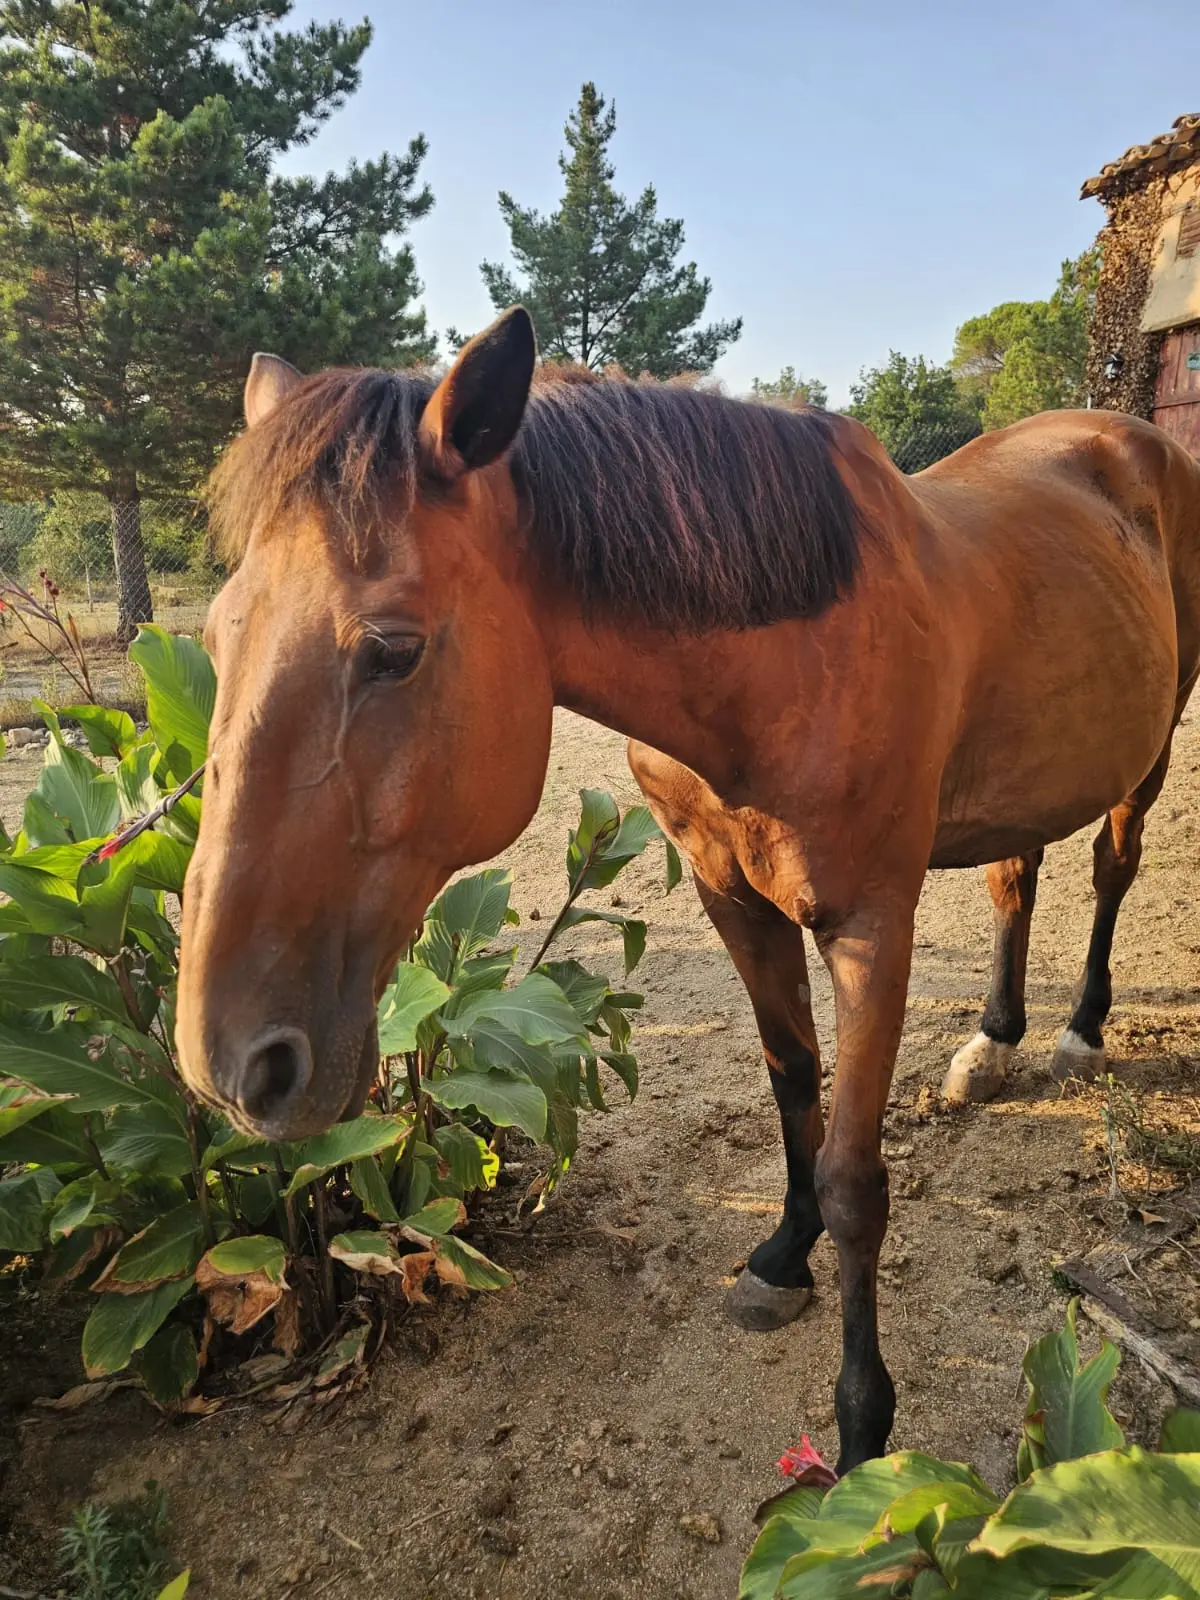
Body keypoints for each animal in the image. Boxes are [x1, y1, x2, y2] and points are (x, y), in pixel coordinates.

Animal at [176, 307, 1200, 1473]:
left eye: (391, 650)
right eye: (216, 636)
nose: (229, 1065)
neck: (790, 650)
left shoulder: (871, 928)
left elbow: (855, 1178)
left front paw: (863, 1436)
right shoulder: (732, 899)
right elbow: (792, 1083)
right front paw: (782, 1256)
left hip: (1155, 739)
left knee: (1112, 868)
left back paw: (1079, 1029)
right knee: (1013, 877)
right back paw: (993, 1041)